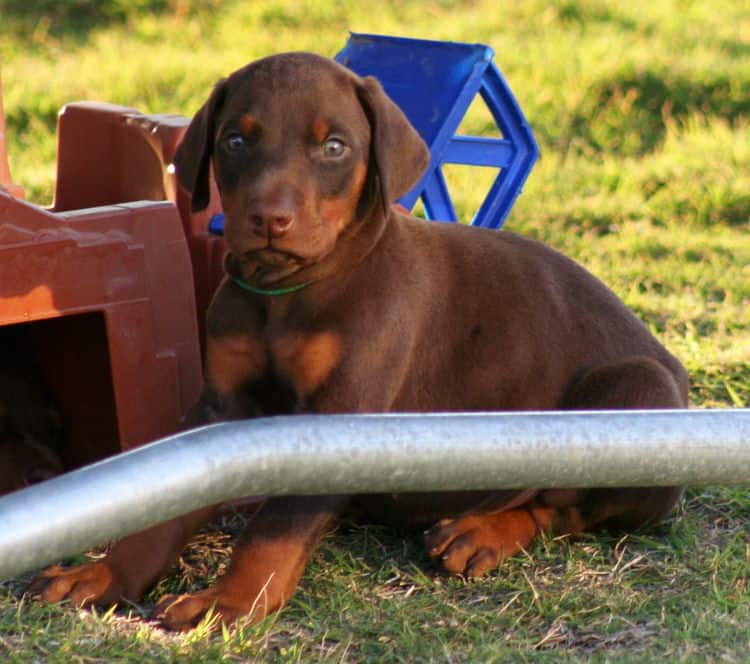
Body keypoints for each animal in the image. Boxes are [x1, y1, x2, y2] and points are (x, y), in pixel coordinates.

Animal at [32, 52, 692, 628]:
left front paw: (229, 601)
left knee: (566, 507)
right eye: (235, 141)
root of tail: (674, 365)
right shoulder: (218, 406)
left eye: (334, 147)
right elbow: (164, 510)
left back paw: (480, 531)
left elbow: (273, 529)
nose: (270, 219)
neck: (287, 294)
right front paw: (104, 575)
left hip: (636, 396)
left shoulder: (337, 416)